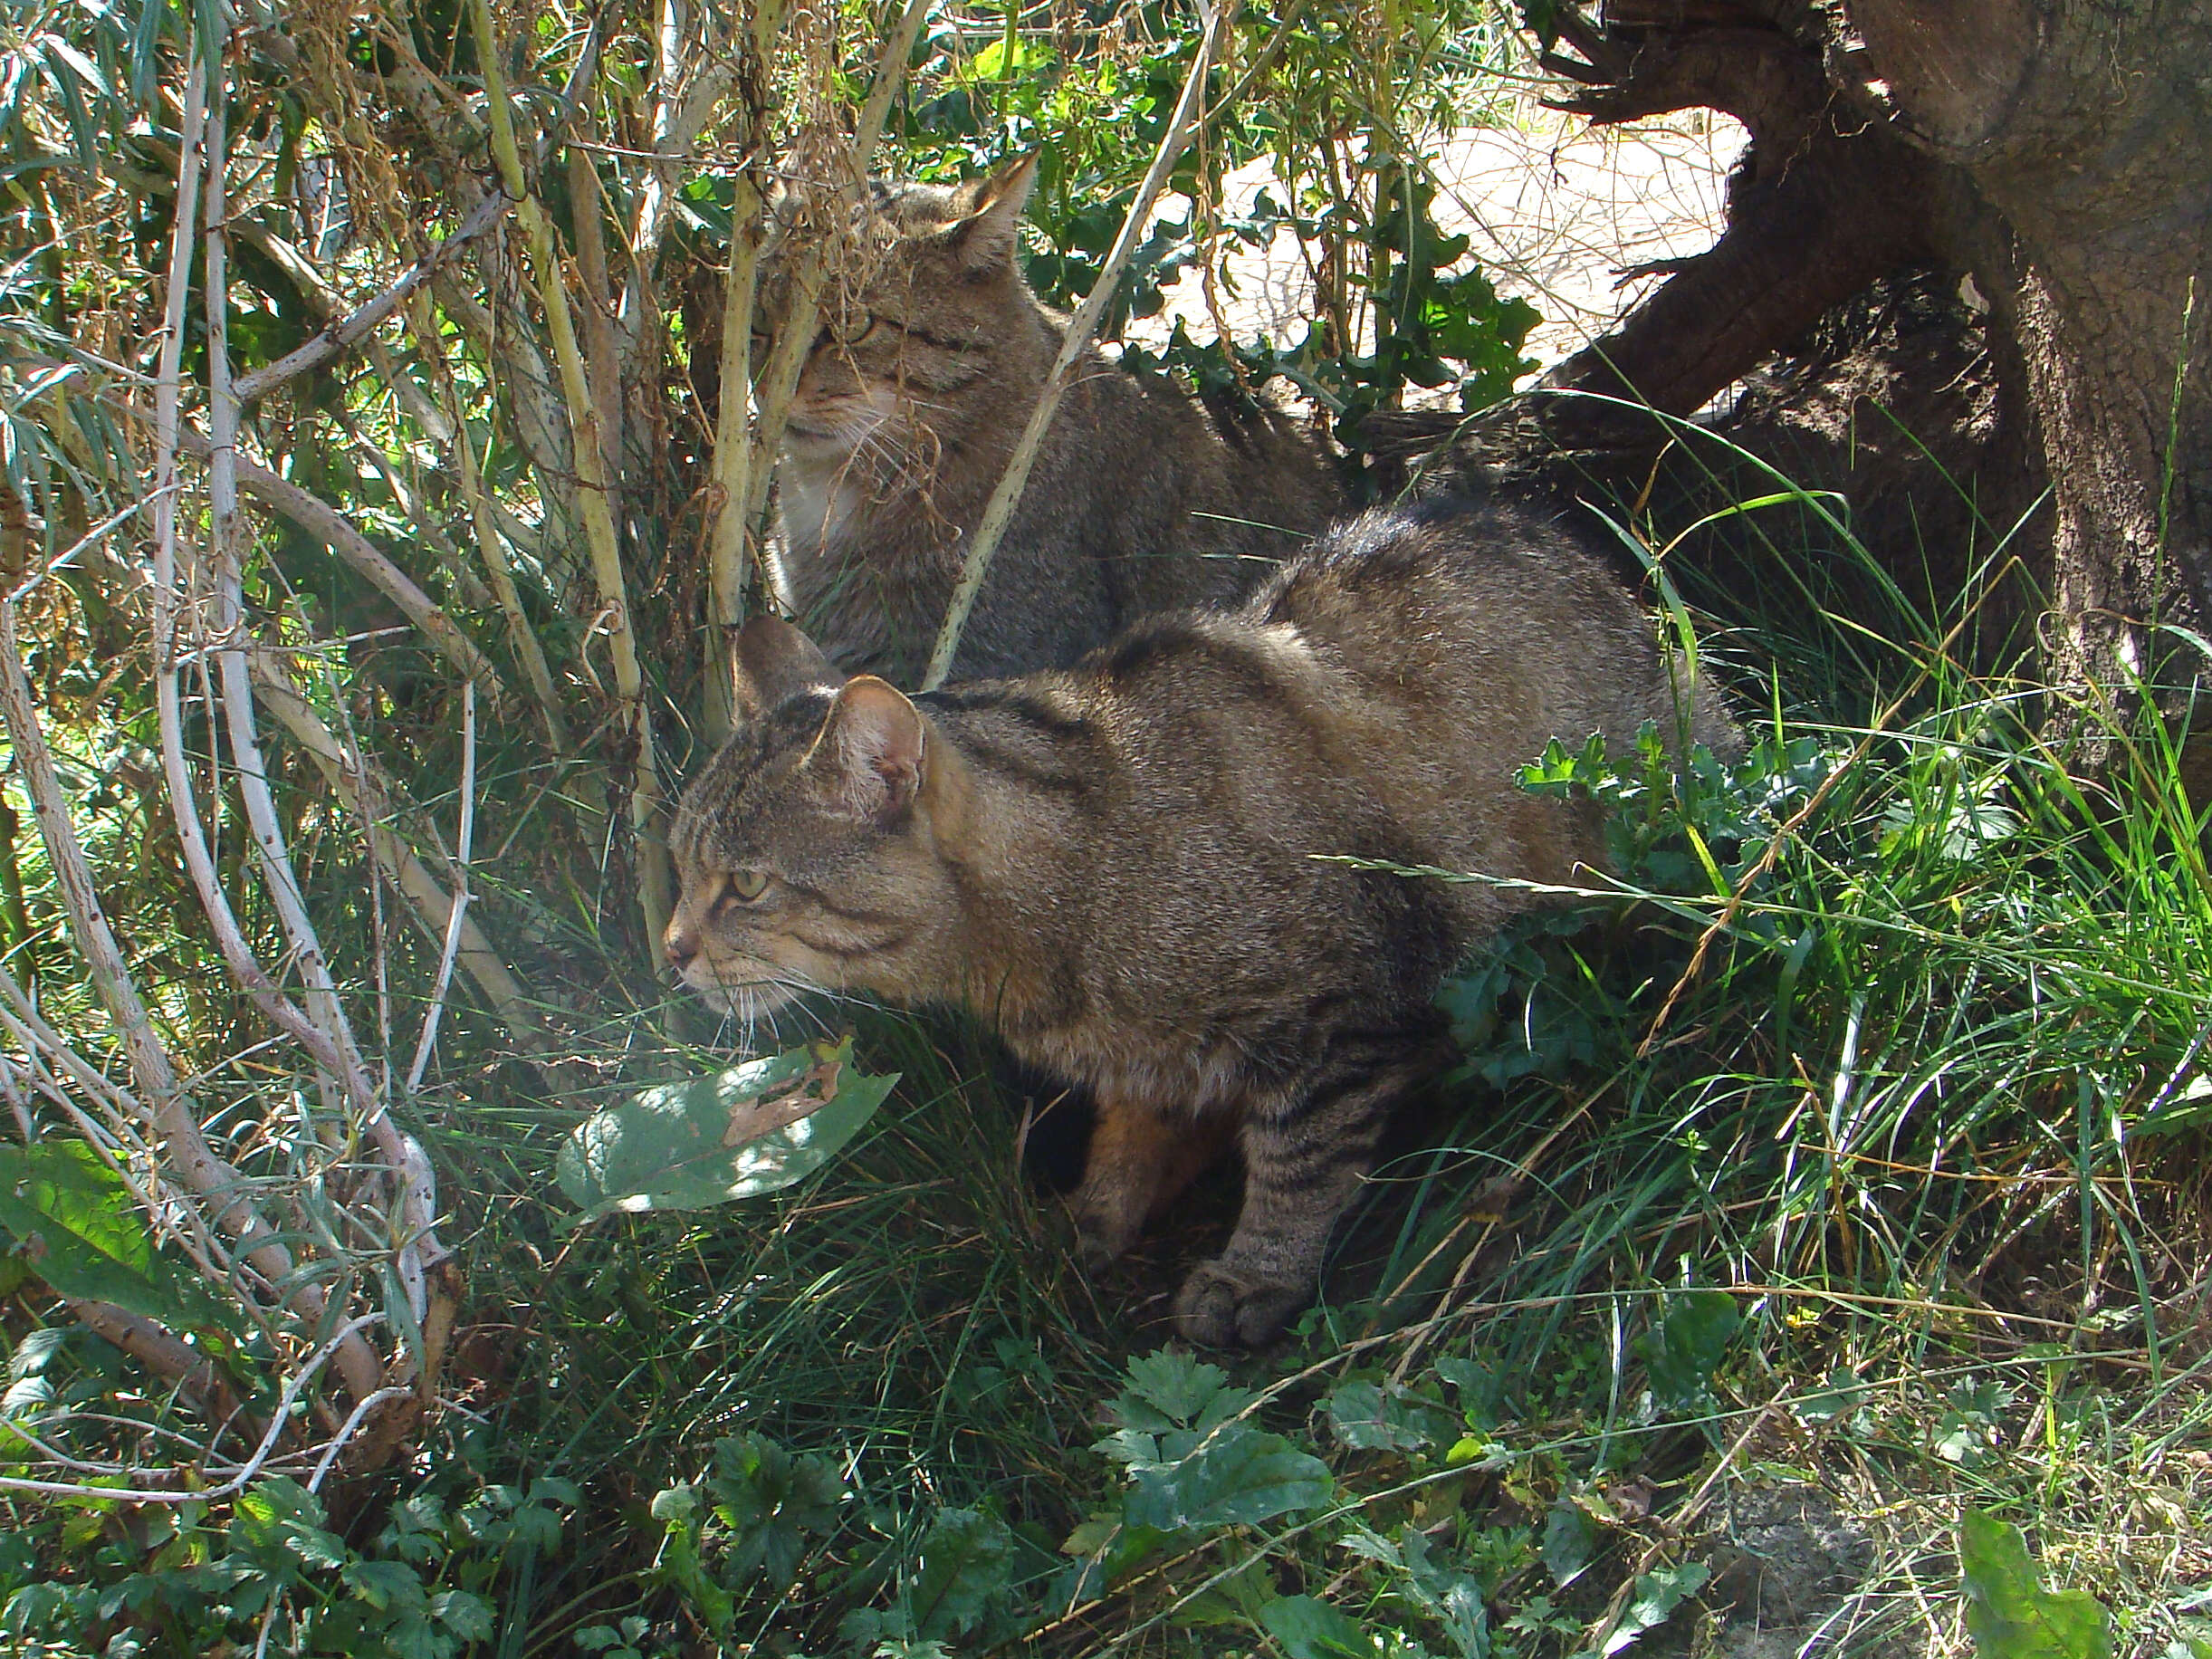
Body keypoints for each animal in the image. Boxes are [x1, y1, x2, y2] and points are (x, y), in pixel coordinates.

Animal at [663, 497, 1734, 1353]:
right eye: (677, 861)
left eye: (746, 884)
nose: (669, 950)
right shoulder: (1148, 1063)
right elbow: (1130, 1139)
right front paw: (1094, 1214)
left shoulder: (1339, 1015)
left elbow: (1302, 1160)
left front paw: (1256, 1272)